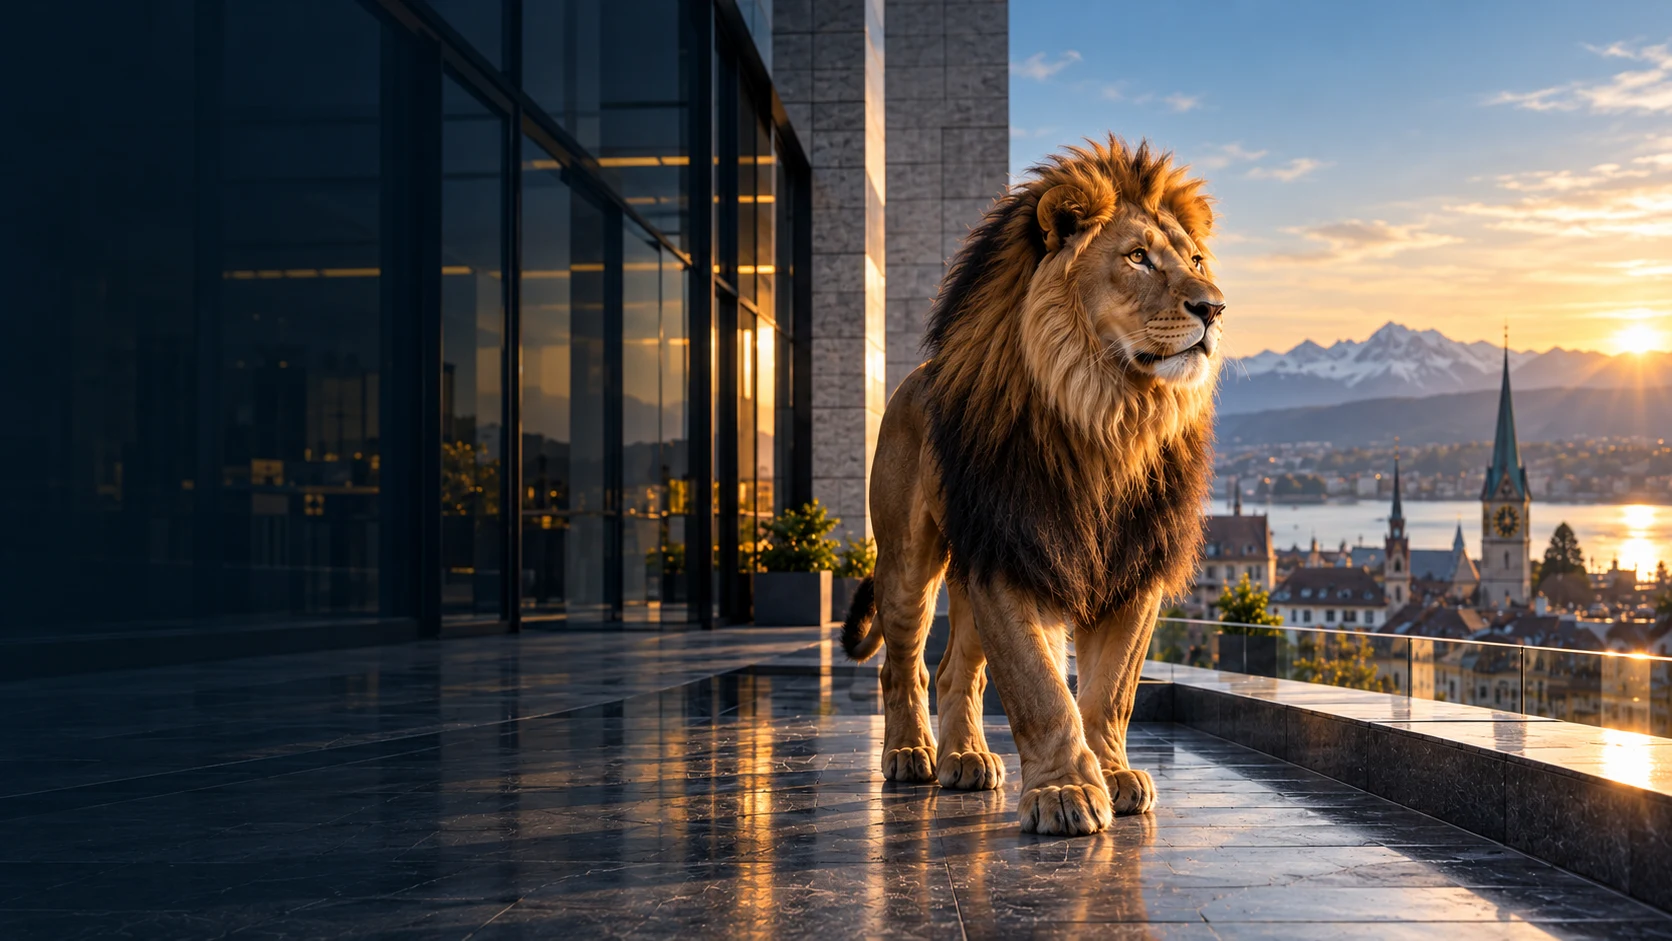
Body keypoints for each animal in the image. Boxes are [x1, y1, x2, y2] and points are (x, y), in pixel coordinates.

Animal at [840, 137, 1223, 836]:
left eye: (1196, 260)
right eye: (1137, 258)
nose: (1213, 307)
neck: (1108, 414)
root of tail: (912, 379)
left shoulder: (1134, 567)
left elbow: (1110, 693)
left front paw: (1113, 774)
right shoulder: (1015, 553)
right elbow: (1041, 687)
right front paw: (1064, 791)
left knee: (955, 671)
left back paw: (966, 758)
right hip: (911, 564)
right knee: (901, 666)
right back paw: (910, 753)